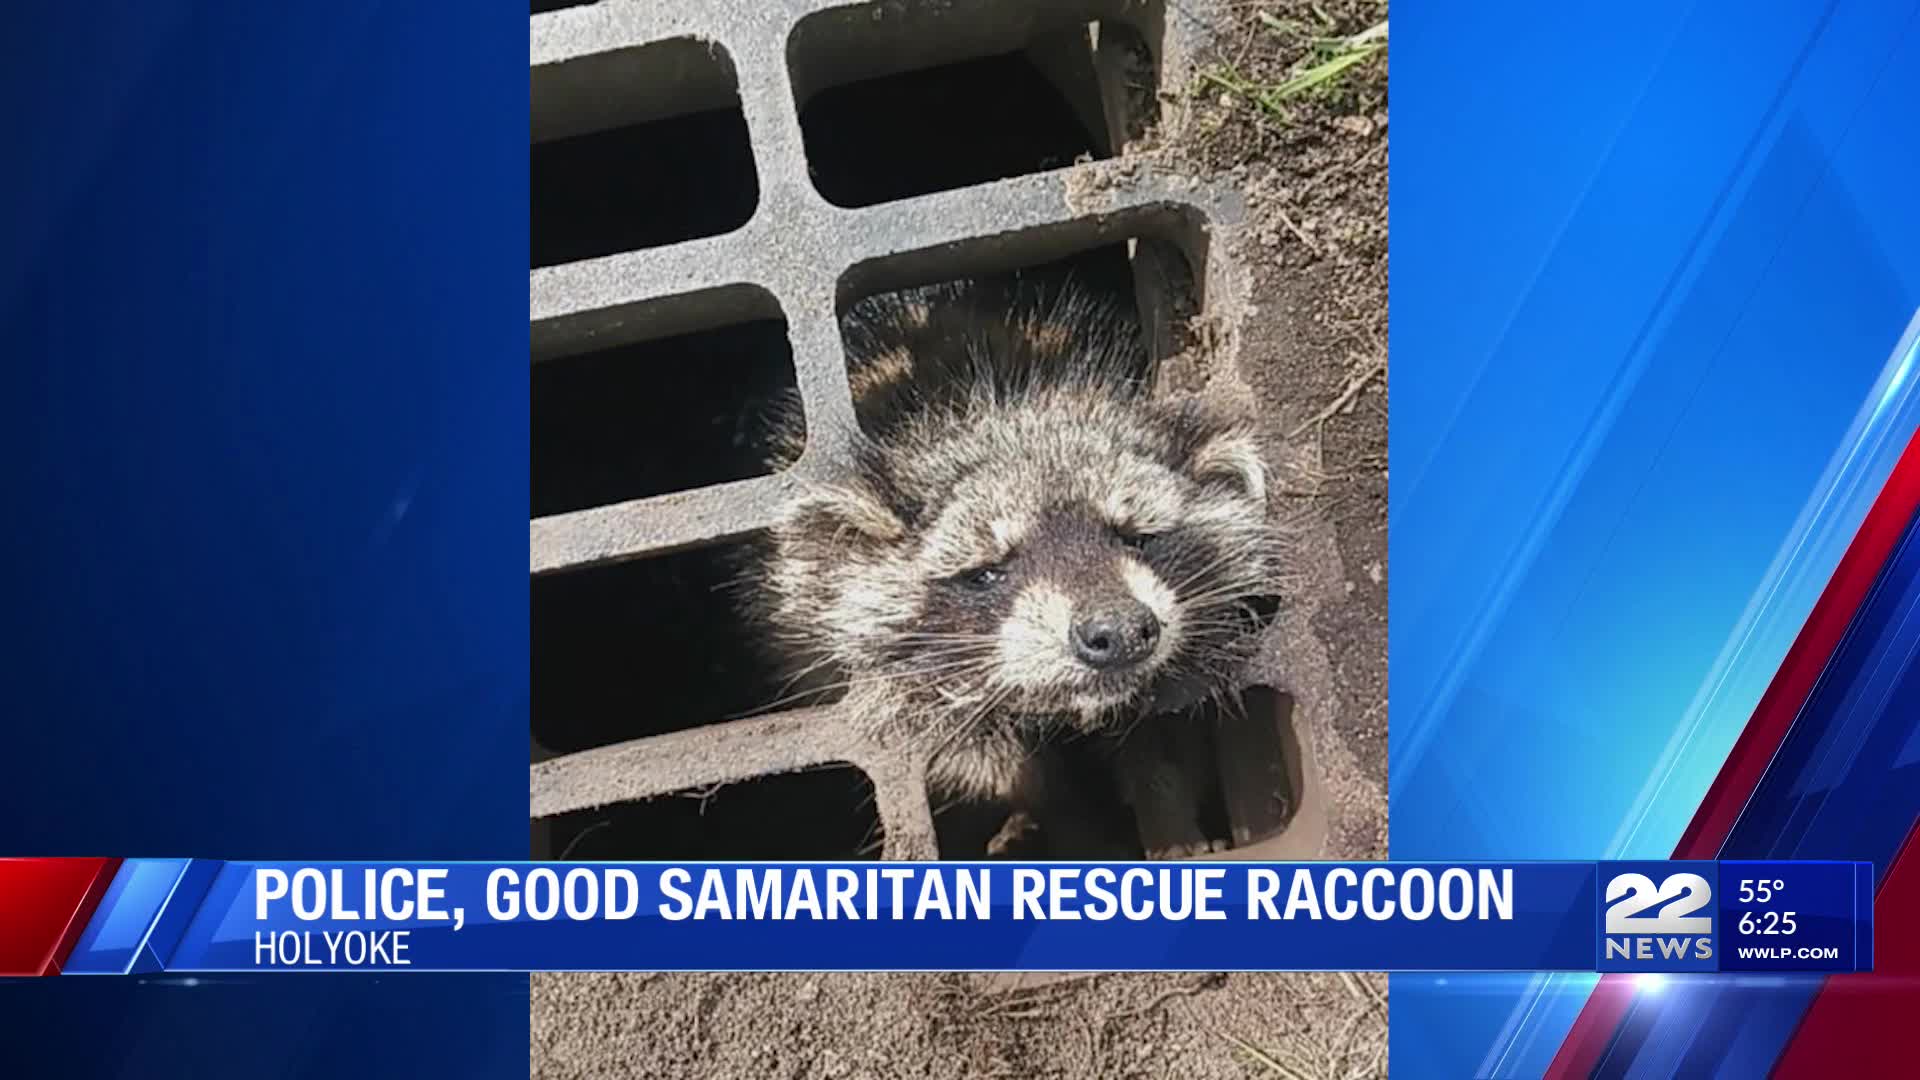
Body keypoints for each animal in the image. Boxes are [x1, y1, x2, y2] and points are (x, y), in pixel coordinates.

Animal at [749, 275, 1278, 845]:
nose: (1118, 630)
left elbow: (1164, 741)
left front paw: (1168, 816)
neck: (1000, 402)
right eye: (986, 573)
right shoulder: (812, 653)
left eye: (1137, 538)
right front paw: (1056, 815)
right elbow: (977, 763)